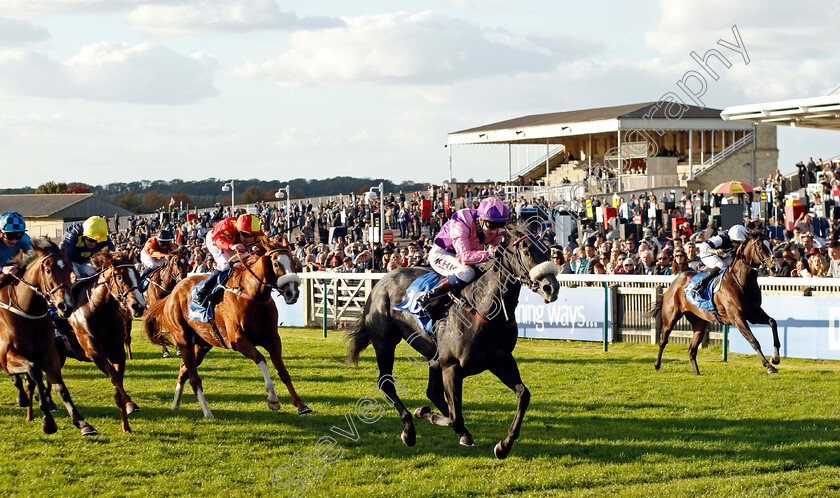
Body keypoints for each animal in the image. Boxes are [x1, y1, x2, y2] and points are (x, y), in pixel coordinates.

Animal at [0, 237, 97, 436]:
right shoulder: (6, 356)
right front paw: (48, 421)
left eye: (69, 269)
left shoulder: (49, 353)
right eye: (48, 270)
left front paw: (82, 422)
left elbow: (60, 386)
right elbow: (35, 371)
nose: (65, 306)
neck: (27, 311)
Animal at [141, 239, 312, 418]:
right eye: (276, 263)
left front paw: (301, 405)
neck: (254, 295)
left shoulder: (272, 338)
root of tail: (171, 295)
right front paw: (273, 399)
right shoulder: (237, 340)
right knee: (194, 378)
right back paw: (207, 412)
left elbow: (283, 371)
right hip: (184, 340)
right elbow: (261, 359)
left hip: (202, 345)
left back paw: (176, 404)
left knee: (183, 370)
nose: (292, 293)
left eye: (294, 263)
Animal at [344, 226, 560, 460]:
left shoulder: (501, 361)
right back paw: (409, 429)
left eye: (547, 250)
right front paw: (424, 413)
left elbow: (523, 394)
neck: (484, 309)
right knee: (386, 383)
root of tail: (381, 281)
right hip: (385, 344)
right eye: (526, 252)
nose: (551, 287)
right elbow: (455, 417)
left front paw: (504, 444)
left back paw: (462, 433)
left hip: (432, 357)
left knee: (433, 392)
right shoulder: (452, 367)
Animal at [648, 229, 780, 374]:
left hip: (699, 322)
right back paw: (656, 364)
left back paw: (697, 373)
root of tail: (675, 282)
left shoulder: (753, 313)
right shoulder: (737, 317)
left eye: (771, 246)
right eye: (761, 247)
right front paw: (769, 366)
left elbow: (772, 322)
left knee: (692, 350)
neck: (742, 282)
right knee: (663, 340)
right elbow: (753, 340)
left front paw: (775, 357)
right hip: (670, 318)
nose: (775, 268)